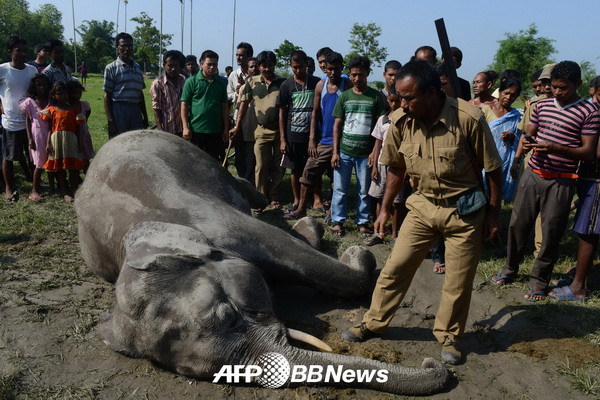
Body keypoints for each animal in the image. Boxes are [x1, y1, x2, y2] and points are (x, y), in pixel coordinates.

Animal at [74, 130, 450, 394]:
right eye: (186, 373)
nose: (432, 364)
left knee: (248, 190)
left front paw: (359, 256)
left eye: (227, 315)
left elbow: (293, 251)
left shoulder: (214, 220)